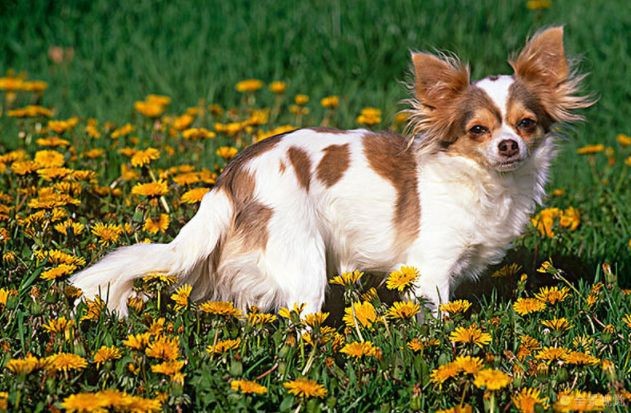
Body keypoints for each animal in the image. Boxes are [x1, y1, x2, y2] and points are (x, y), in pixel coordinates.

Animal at [71, 26, 596, 316]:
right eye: (478, 130)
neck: (487, 183)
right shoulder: (431, 269)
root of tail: (233, 176)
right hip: (303, 260)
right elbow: (437, 315)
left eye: (526, 124)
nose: (509, 146)